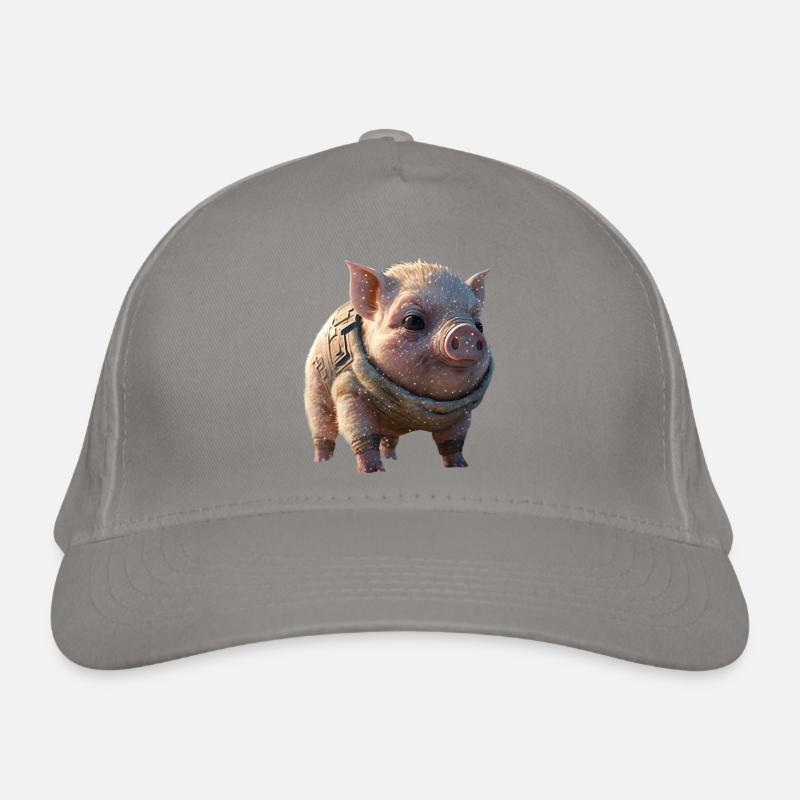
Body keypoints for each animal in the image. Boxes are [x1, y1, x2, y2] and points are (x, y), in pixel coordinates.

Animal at [304, 259, 493, 473]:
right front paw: (373, 471)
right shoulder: (348, 389)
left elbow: (453, 440)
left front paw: (459, 466)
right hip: (315, 388)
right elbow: (360, 430)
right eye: (413, 321)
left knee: (388, 439)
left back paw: (392, 459)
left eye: (479, 326)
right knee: (322, 425)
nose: (466, 330)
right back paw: (321, 461)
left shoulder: (462, 410)